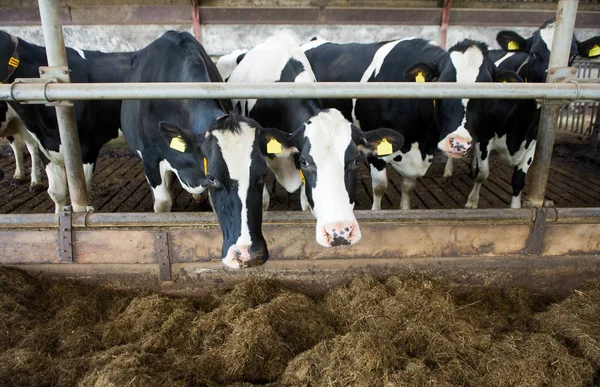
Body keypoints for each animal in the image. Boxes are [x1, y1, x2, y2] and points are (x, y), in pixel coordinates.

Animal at [302, 37, 508, 211]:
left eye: (489, 88)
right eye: (442, 83)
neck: (420, 140)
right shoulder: (376, 147)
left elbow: (408, 187)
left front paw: (404, 209)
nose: (458, 143)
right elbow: (380, 187)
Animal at [450, 20, 600, 209]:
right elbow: (483, 173)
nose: (547, 90)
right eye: (534, 53)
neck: (521, 122)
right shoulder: (486, 135)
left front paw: (515, 208)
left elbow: (518, 181)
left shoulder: (533, 141)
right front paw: (472, 201)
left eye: (572, 56)